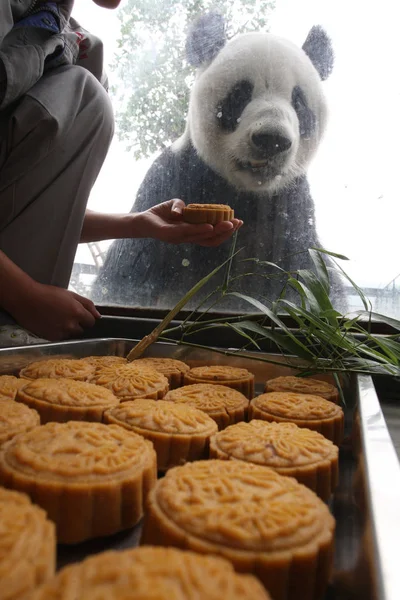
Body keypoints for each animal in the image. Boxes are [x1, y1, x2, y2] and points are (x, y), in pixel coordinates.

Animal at [92, 12, 340, 312]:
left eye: (299, 102)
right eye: (240, 95)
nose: (272, 139)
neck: (244, 191)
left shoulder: (293, 207)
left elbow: (306, 274)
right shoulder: (175, 174)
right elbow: (129, 271)